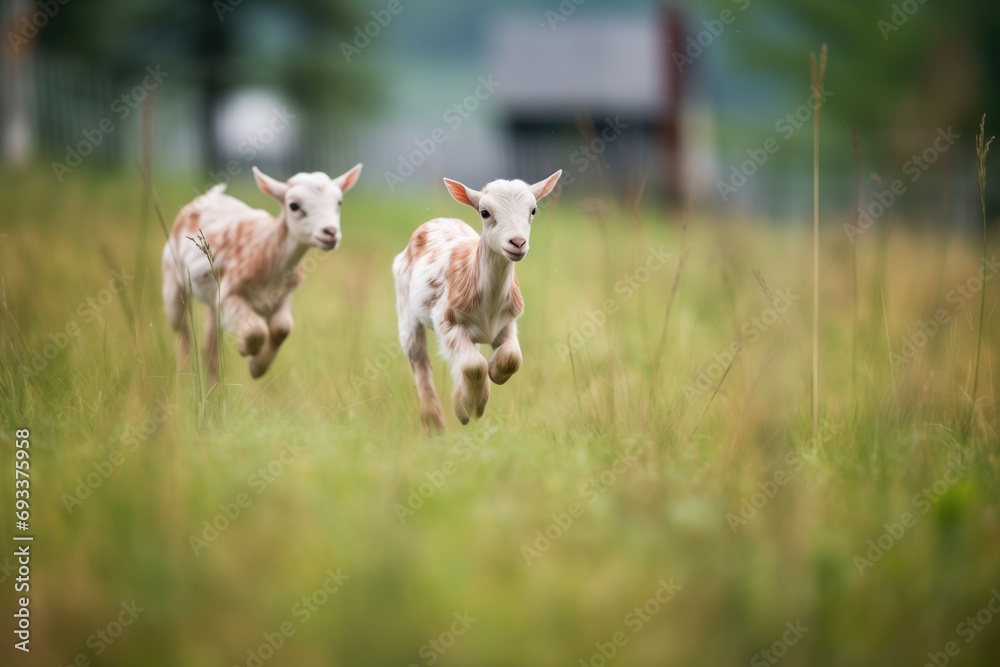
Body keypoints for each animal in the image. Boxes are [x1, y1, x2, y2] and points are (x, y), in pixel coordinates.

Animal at [162, 164, 362, 383]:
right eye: (293, 205)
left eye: (339, 202)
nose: (330, 233)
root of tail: (205, 198)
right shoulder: (229, 292)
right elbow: (255, 329)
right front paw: (246, 351)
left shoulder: (283, 295)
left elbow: (282, 328)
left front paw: (258, 367)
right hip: (172, 278)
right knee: (181, 331)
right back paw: (185, 379)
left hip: (213, 303)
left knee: (209, 346)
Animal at [392, 170, 562, 434]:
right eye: (485, 212)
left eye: (533, 210)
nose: (517, 243)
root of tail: (438, 220)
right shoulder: (446, 320)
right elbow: (473, 365)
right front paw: (466, 409)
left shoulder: (508, 322)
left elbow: (511, 358)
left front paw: (492, 377)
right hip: (406, 308)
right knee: (419, 359)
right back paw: (434, 423)